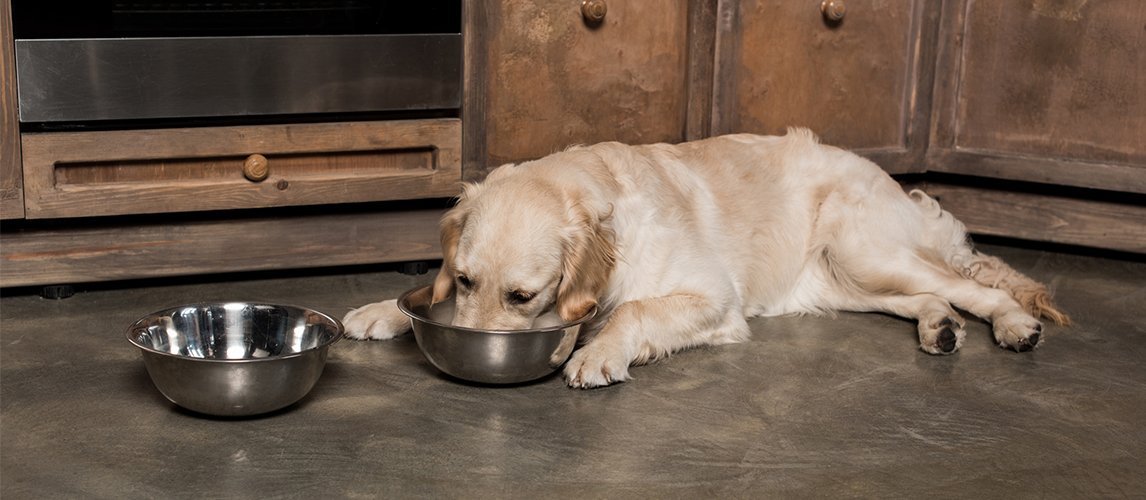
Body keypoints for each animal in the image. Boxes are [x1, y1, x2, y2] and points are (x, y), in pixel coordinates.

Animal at [343, 127, 1068, 387]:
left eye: (524, 297)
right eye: (465, 280)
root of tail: (889, 175)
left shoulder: (714, 297)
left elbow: (632, 312)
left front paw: (598, 354)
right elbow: (422, 296)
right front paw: (381, 309)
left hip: (869, 250)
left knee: (975, 286)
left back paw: (1014, 326)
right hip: (845, 282)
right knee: (930, 296)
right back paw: (938, 328)